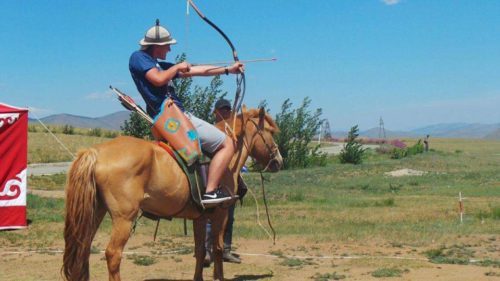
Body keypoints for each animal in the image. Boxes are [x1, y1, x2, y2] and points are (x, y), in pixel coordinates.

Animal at [61, 107, 282, 280]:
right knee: (113, 255)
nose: (279, 160)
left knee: (83, 248)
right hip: (124, 218)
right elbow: (218, 248)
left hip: (95, 212)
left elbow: (200, 250)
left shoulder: (200, 217)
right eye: (270, 131)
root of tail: (96, 152)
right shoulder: (221, 213)